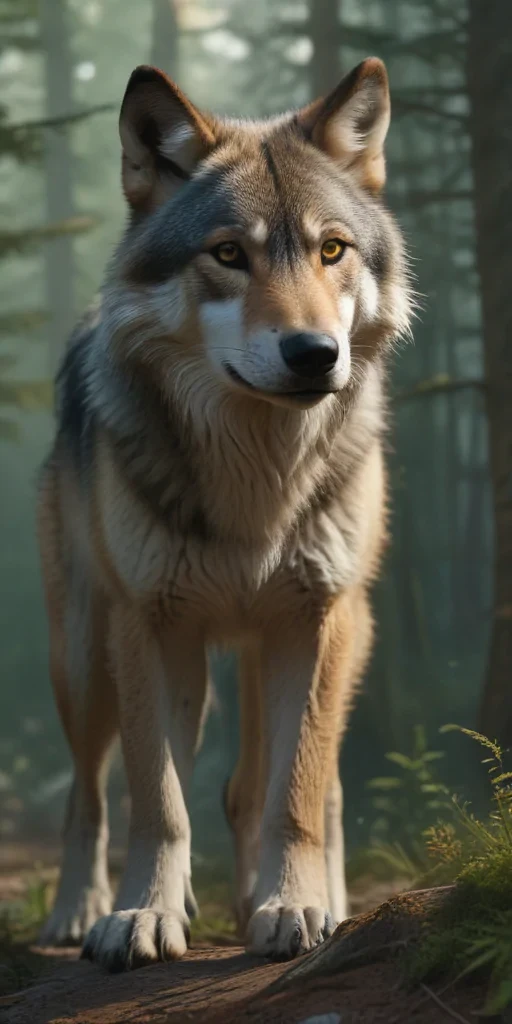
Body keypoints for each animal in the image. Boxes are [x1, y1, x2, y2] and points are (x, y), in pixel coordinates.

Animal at [37, 56, 411, 971]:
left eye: (331, 250)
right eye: (229, 254)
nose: (314, 353)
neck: (258, 489)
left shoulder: (316, 619)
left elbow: (295, 791)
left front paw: (294, 906)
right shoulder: (150, 626)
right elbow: (158, 800)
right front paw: (140, 916)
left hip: (329, 638)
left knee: (281, 787)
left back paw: (298, 899)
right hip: (85, 657)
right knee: (88, 795)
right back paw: (76, 913)